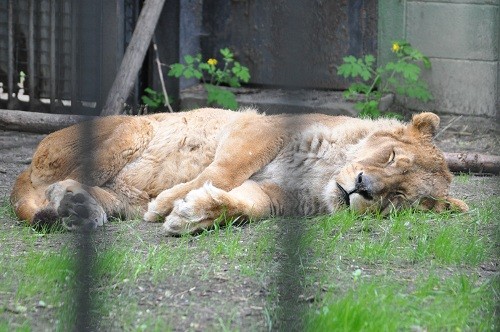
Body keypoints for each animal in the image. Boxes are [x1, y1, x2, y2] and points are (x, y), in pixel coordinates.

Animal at [9, 107, 466, 235]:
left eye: (397, 198)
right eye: (390, 156)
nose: (362, 188)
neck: (320, 176)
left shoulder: (278, 197)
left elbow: (248, 206)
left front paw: (195, 214)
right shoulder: (257, 127)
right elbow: (227, 168)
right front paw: (168, 203)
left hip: (120, 194)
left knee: (65, 191)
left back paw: (77, 208)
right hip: (132, 129)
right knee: (35, 185)